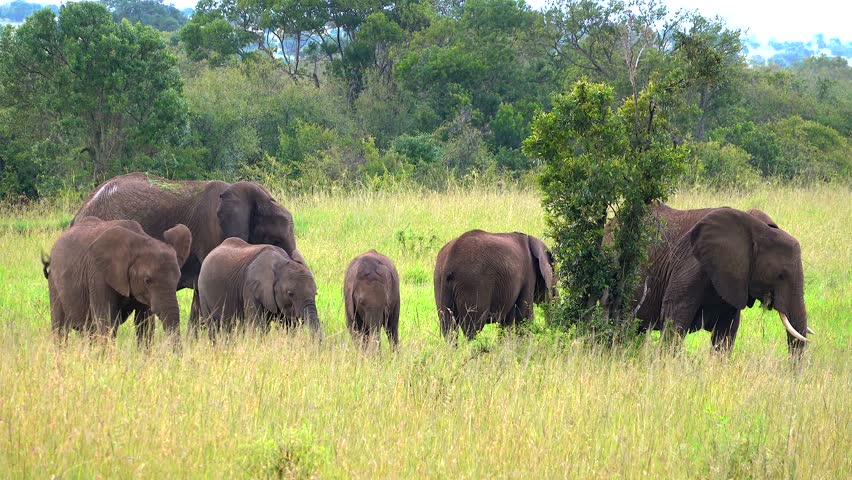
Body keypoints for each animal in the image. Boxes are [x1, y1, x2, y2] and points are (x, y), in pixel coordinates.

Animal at [44, 216, 191, 345]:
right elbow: (106, 322)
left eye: (177, 279)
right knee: (60, 327)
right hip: (53, 281)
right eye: (147, 280)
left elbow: (144, 324)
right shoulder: (98, 274)